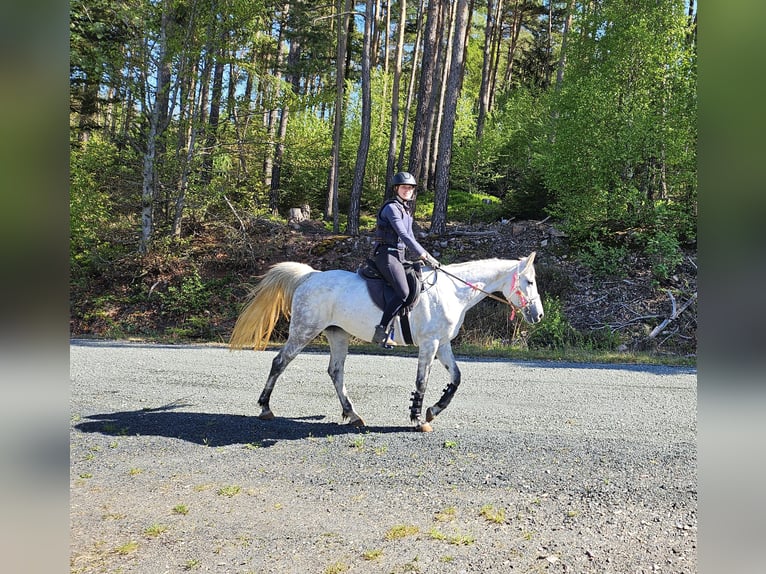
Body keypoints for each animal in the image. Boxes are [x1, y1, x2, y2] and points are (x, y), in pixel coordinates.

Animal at [229, 253, 544, 432]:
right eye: (529, 281)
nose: (538, 315)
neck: (453, 291)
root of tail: (310, 276)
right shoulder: (429, 344)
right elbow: (421, 382)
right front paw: (418, 419)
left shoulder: (442, 344)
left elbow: (456, 378)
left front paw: (433, 411)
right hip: (304, 330)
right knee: (280, 362)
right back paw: (265, 408)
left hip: (337, 333)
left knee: (335, 372)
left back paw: (353, 415)